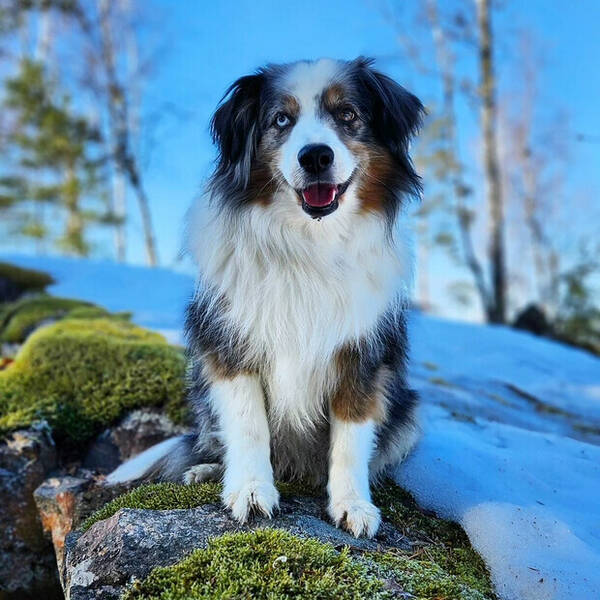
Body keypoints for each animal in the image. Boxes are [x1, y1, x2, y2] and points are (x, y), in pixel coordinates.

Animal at [109, 57, 426, 540]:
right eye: (281, 120)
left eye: (348, 114)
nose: (315, 156)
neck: (309, 244)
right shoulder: (229, 347)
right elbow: (248, 425)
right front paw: (251, 490)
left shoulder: (363, 358)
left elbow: (351, 440)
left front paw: (353, 504)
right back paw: (206, 470)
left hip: (409, 411)